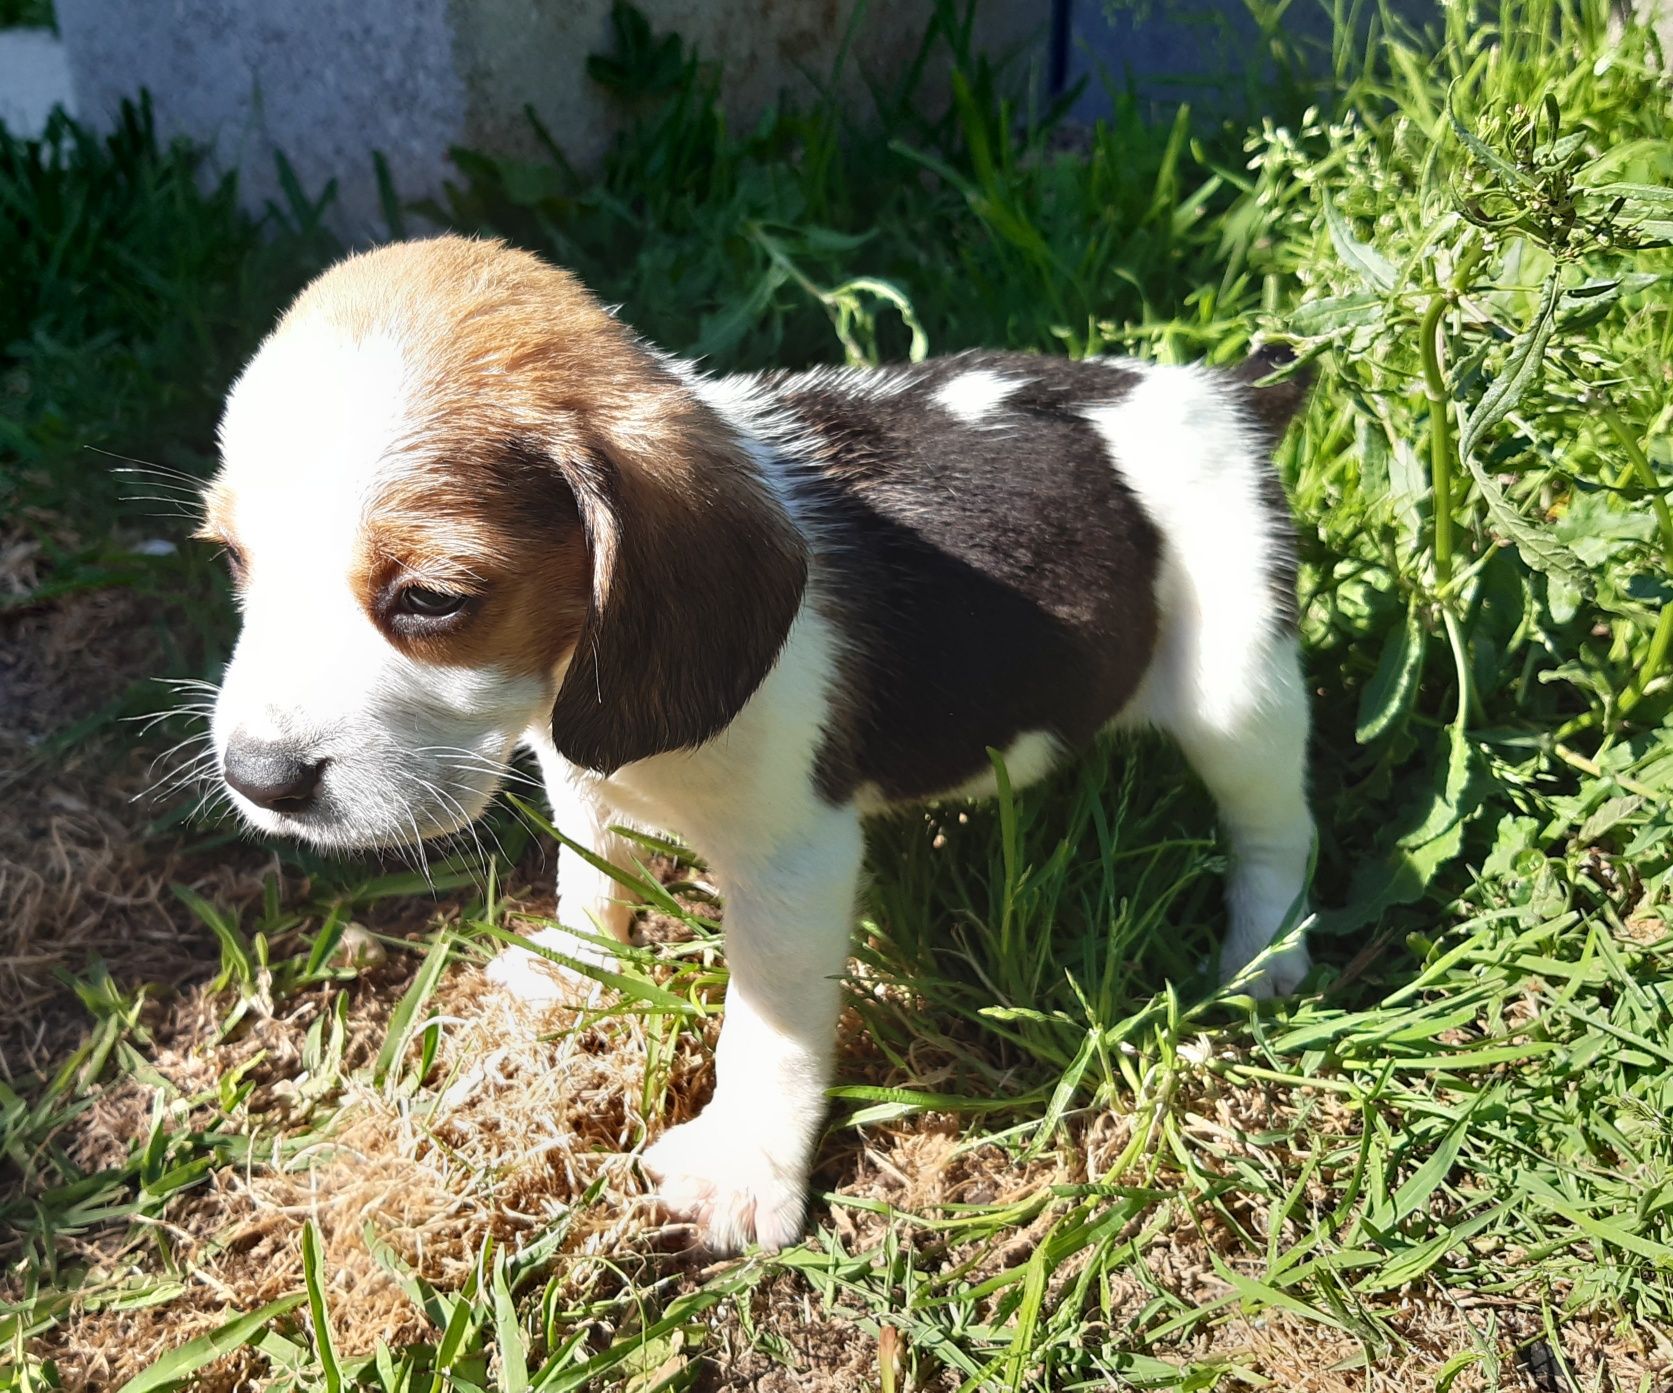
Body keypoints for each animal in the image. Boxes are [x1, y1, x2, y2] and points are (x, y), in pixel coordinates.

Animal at [199, 235, 1318, 1250]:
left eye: (432, 599)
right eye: (235, 561)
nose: (257, 779)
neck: (570, 671)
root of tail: (1222, 389)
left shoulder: (793, 863)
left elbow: (766, 1031)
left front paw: (741, 1170)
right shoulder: (581, 776)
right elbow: (589, 875)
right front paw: (576, 968)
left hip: (1238, 691)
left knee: (1276, 830)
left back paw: (1261, 958)